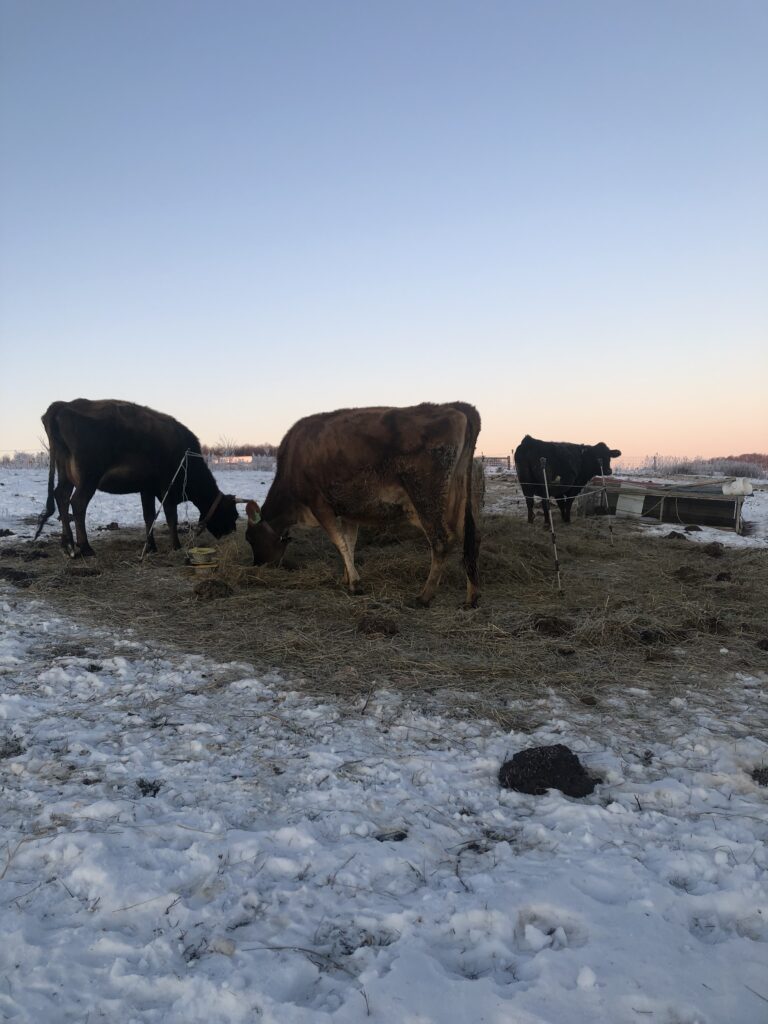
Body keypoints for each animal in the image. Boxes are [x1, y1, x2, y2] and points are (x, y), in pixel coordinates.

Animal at [34, 399, 239, 556]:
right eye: (233, 514)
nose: (232, 532)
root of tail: (63, 405)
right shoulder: (167, 486)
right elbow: (171, 516)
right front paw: (176, 546)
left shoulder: (146, 488)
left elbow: (149, 516)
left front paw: (151, 547)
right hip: (88, 478)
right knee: (77, 503)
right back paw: (85, 547)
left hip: (66, 475)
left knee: (61, 496)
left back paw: (67, 545)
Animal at [244, 402, 482, 607]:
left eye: (250, 537)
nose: (256, 565)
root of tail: (456, 406)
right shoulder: (349, 511)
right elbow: (349, 543)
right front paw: (346, 578)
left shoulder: (320, 504)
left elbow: (339, 542)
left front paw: (355, 584)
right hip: (457, 496)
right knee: (469, 538)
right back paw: (471, 598)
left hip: (426, 495)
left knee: (442, 540)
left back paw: (424, 596)